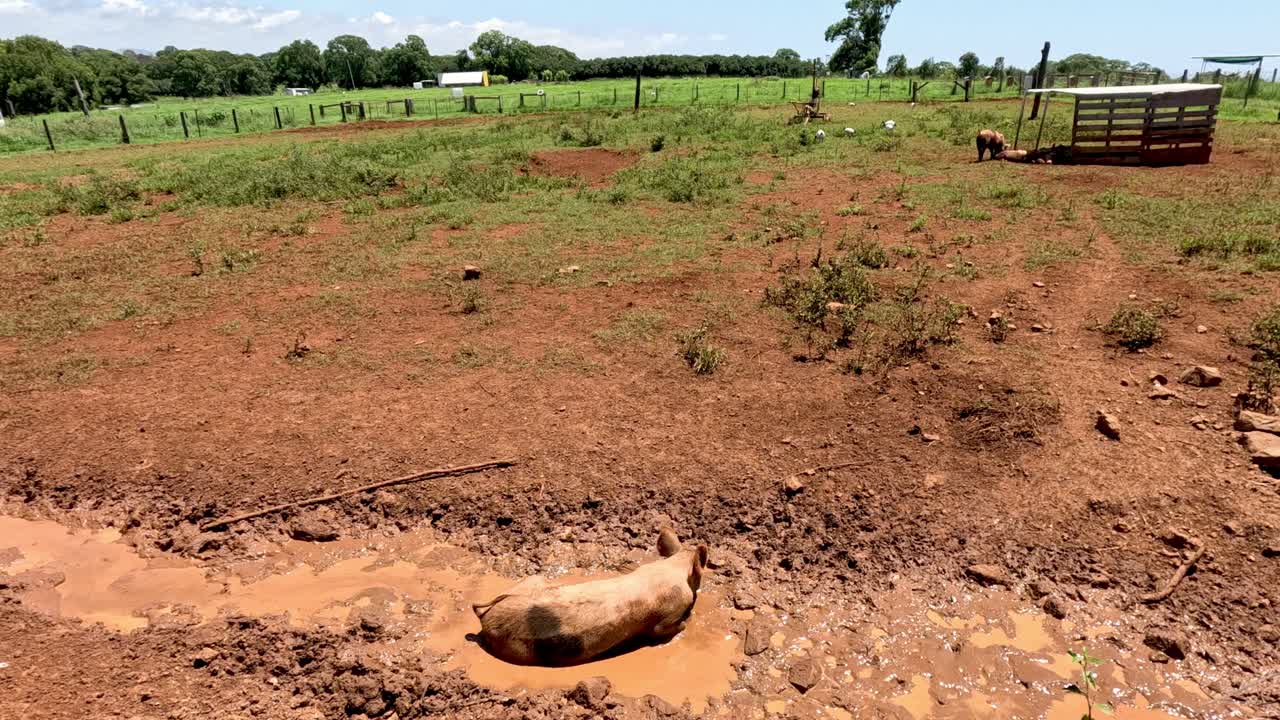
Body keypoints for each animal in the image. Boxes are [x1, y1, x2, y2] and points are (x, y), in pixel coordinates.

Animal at [472, 528, 708, 667]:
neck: (673, 569)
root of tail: (486, 617)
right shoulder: (668, 614)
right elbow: (663, 629)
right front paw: (687, 621)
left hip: (532, 581)